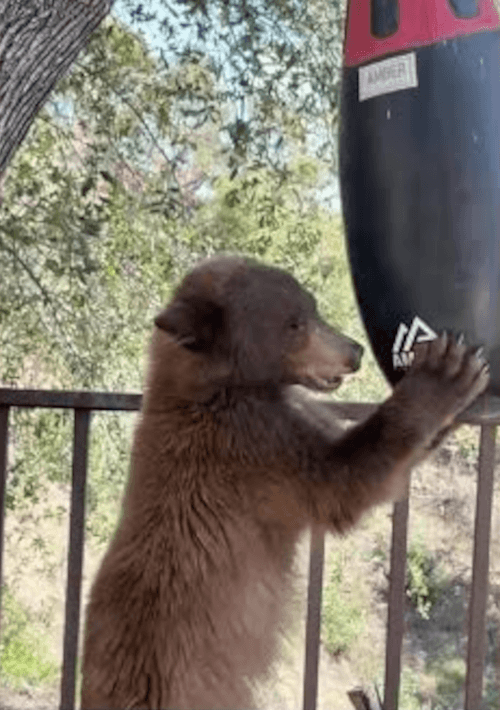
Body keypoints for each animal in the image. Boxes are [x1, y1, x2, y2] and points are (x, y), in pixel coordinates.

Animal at [80, 254, 489, 710]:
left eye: (312, 307)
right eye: (295, 322)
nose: (354, 351)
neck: (218, 384)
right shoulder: (255, 448)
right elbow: (344, 481)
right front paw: (445, 375)